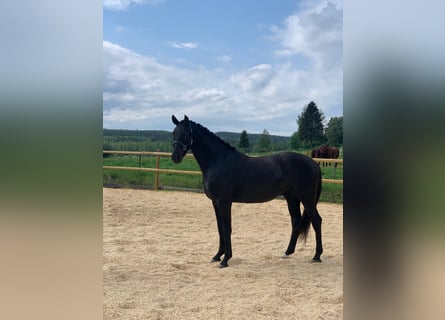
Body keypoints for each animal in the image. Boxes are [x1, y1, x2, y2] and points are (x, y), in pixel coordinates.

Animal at [171, 115, 322, 268]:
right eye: (174, 133)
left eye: (186, 133)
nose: (175, 157)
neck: (218, 161)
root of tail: (314, 163)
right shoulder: (215, 202)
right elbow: (220, 228)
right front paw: (217, 256)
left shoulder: (224, 202)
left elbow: (226, 228)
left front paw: (225, 259)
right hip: (292, 197)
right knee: (296, 221)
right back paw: (288, 252)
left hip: (307, 199)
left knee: (316, 221)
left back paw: (316, 256)